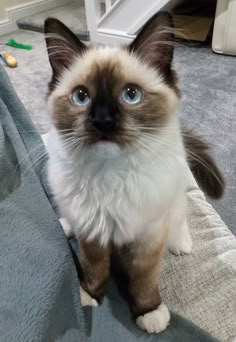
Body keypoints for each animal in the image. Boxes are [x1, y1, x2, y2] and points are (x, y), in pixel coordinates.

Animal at [43, 13, 223, 334]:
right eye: (81, 97)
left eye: (131, 95)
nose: (103, 121)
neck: (110, 174)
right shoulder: (92, 231)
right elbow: (94, 268)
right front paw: (90, 295)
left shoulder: (148, 238)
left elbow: (143, 280)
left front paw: (149, 313)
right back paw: (65, 225)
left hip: (173, 196)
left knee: (181, 213)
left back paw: (181, 244)